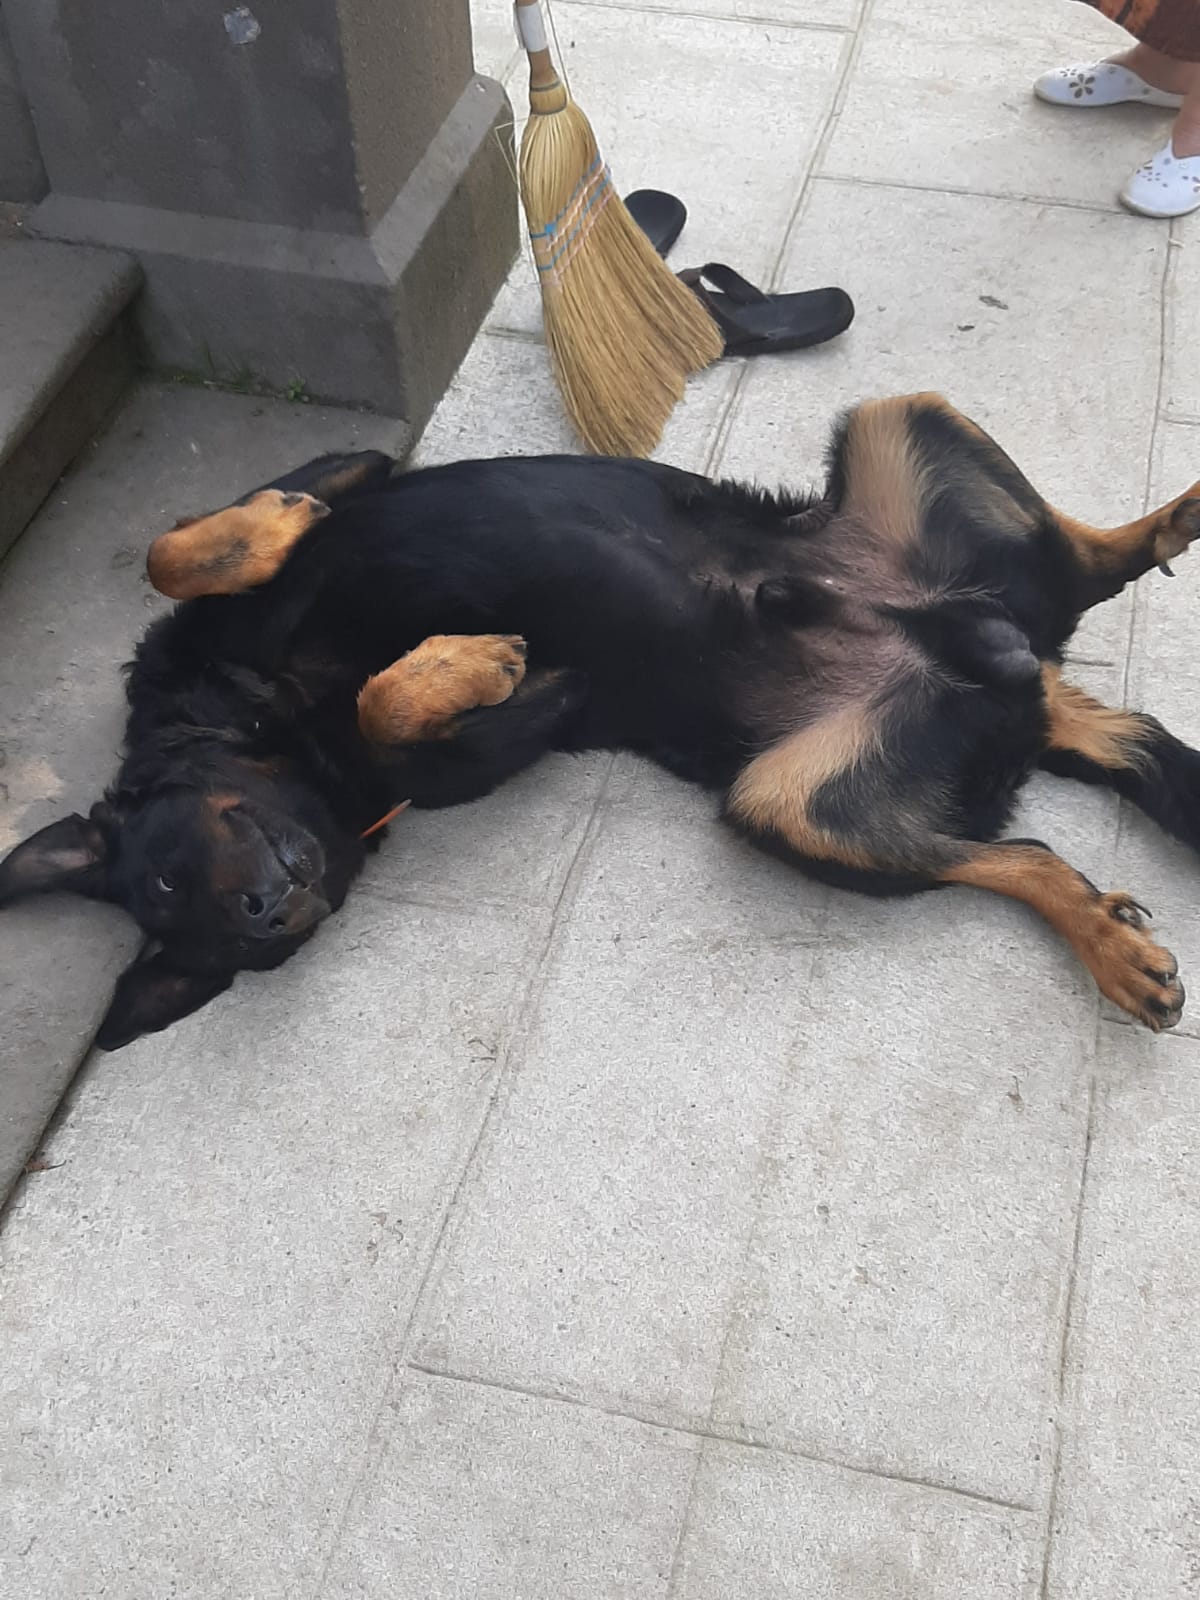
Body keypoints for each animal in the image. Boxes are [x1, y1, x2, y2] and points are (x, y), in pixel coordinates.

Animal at [1, 392, 1197, 1049]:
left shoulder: (353, 475)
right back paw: (1104, 936)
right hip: (787, 804)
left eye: (165, 875)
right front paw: (464, 659)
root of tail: (1016, 669)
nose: (272, 907)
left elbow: (184, 543)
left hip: (901, 413)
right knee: (1026, 852)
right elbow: (392, 705)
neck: (272, 723)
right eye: (209, 932)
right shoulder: (465, 759)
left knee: (1081, 563)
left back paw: (1165, 521)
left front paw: (301, 547)